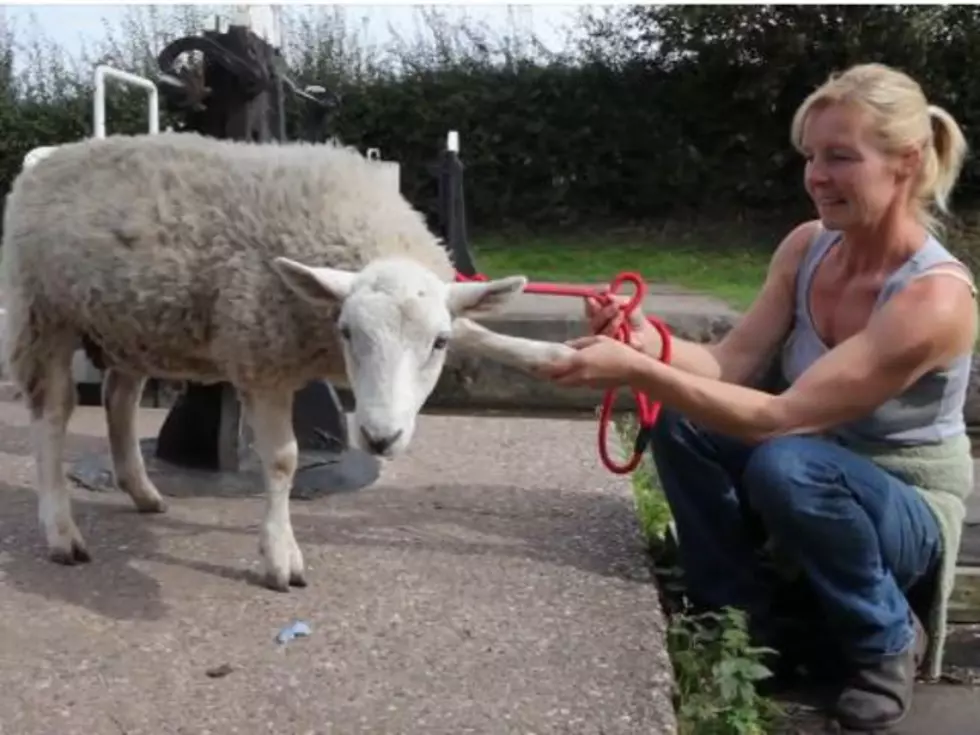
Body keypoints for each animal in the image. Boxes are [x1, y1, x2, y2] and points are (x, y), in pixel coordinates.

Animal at [0, 132, 532, 592]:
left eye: (441, 342)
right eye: (347, 332)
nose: (380, 438)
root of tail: (48, 160)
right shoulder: (262, 360)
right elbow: (281, 461)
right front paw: (280, 556)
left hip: (128, 323)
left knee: (119, 399)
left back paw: (142, 492)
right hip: (43, 313)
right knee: (52, 415)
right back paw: (61, 531)